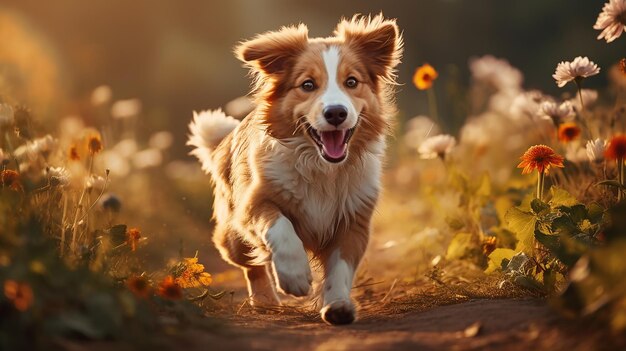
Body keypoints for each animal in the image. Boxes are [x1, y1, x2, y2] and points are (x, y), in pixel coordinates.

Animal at [186, 14, 400, 328]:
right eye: (308, 85)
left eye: (352, 82)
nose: (336, 113)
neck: (321, 167)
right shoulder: (255, 202)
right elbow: (282, 229)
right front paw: (295, 276)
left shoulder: (354, 219)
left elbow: (341, 266)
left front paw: (337, 304)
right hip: (232, 235)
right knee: (251, 265)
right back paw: (265, 299)